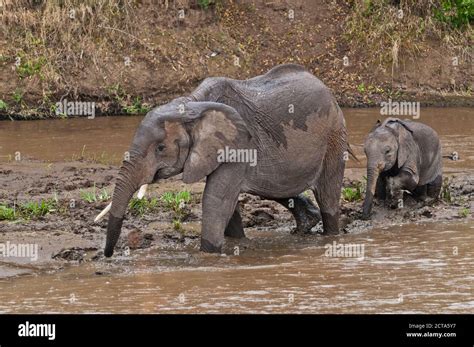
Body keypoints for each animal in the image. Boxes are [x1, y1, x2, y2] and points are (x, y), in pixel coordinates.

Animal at [99, 64, 348, 256]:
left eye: (160, 148)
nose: (108, 254)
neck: (191, 104)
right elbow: (226, 201)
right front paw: (237, 243)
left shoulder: (239, 145)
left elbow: (216, 200)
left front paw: (208, 256)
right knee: (275, 187)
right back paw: (307, 223)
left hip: (334, 137)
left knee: (327, 195)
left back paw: (329, 234)